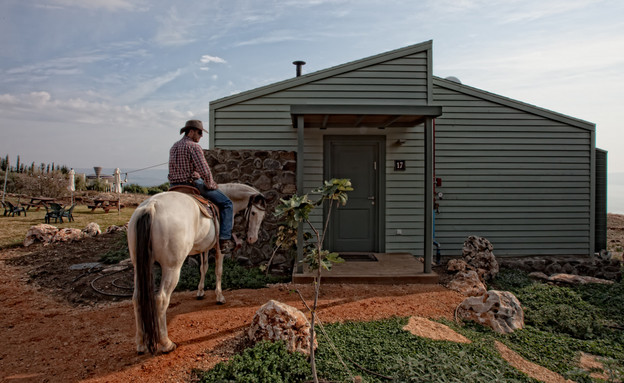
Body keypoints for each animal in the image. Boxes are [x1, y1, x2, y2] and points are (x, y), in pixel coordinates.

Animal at [128, 184, 266, 356]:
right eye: (253, 213)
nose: (253, 239)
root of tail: (151, 206)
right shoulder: (219, 248)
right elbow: (218, 270)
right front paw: (219, 296)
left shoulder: (204, 247)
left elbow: (203, 267)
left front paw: (200, 291)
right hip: (172, 268)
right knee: (161, 299)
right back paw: (166, 343)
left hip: (138, 265)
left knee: (137, 298)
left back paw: (140, 344)